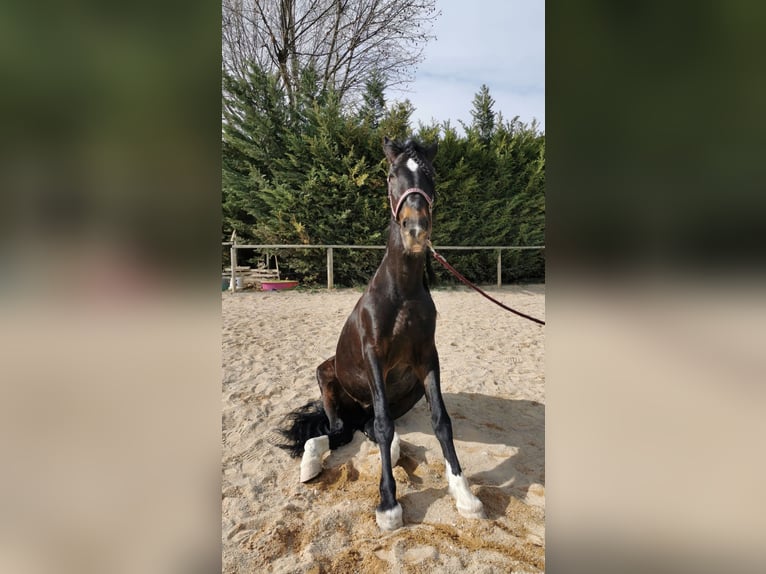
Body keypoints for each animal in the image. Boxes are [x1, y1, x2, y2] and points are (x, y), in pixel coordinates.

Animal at [276, 135, 484, 532]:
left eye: (431, 174)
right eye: (391, 176)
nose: (415, 230)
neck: (401, 292)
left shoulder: (427, 358)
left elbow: (440, 421)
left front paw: (464, 494)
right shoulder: (374, 357)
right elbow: (385, 425)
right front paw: (388, 505)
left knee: (366, 428)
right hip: (327, 378)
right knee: (341, 430)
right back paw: (310, 463)